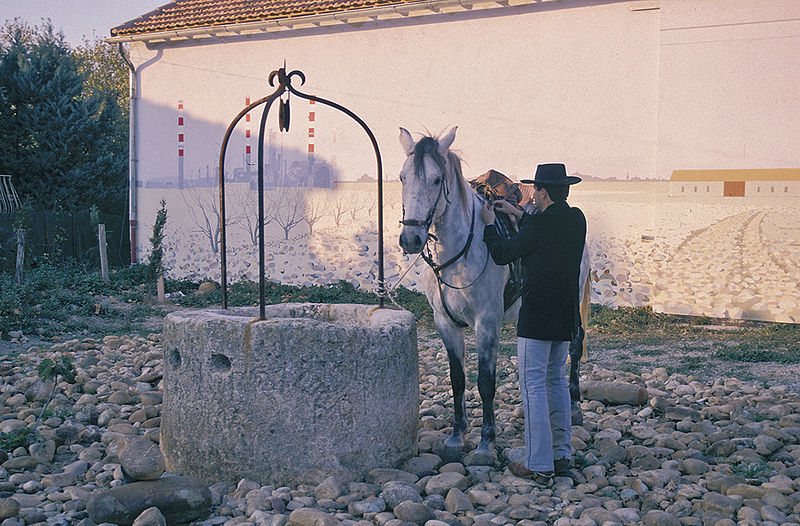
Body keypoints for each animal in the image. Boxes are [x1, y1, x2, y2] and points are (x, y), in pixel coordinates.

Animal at [396, 127, 592, 462]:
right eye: (402, 178)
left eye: (437, 179)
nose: (411, 238)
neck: (459, 254)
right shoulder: (445, 324)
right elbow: (458, 380)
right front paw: (456, 437)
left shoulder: (486, 324)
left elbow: (485, 382)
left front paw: (486, 444)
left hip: (573, 304)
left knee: (576, 346)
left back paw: (575, 406)